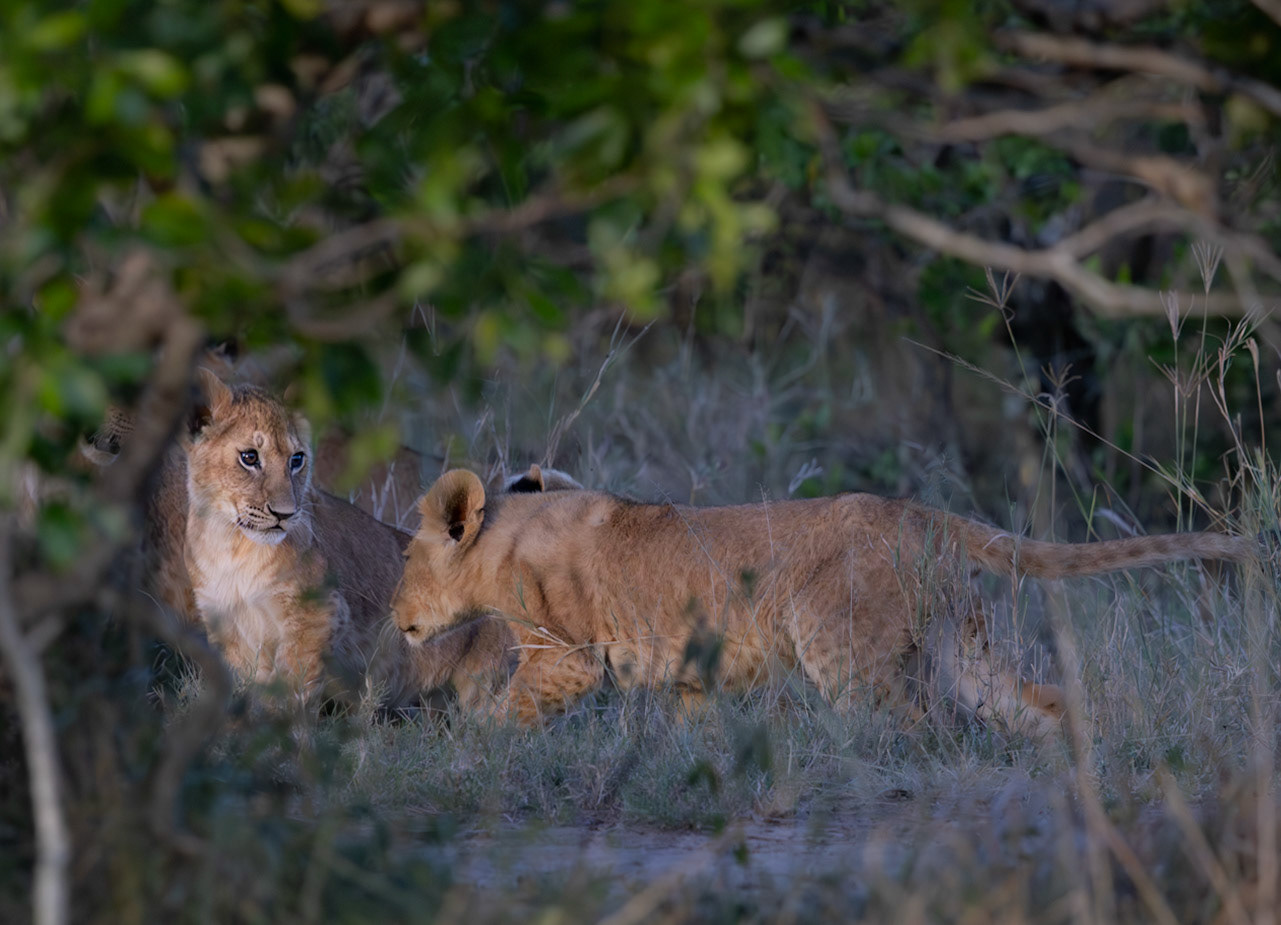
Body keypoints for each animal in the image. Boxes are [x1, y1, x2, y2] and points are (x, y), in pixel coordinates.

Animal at [183, 370, 520, 711]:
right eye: (249, 457)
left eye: (297, 459)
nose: (285, 514)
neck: (229, 543)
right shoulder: (229, 631)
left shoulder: (319, 614)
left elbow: (290, 690)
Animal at [391, 469, 1255, 733]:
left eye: (403, 556)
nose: (395, 620)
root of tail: (920, 511)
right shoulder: (689, 676)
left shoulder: (566, 658)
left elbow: (504, 712)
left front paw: (462, 751)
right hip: (961, 644)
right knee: (1035, 700)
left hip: (837, 646)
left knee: (913, 723)